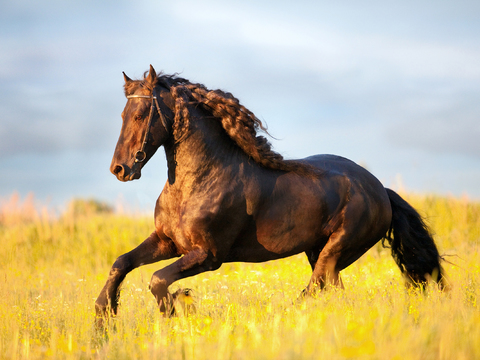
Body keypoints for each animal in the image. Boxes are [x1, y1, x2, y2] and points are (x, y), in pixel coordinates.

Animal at [94, 65, 446, 326]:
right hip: (319, 252)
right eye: (123, 115)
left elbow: (156, 279)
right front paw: (103, 318)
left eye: (140, 114)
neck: (198, 181)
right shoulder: (168, 242)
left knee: (315, 288)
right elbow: (121, 263)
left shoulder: (208, 255)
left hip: (336, 250)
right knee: (332, 291)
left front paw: (177, 311)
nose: (120, 169)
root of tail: (380, 190)